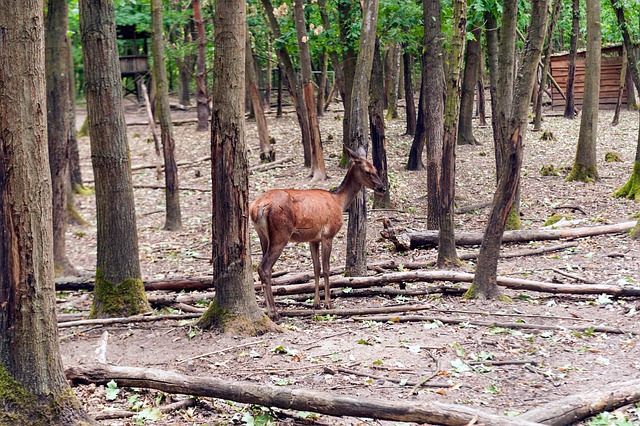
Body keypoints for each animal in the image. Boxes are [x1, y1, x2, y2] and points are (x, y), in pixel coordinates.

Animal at [250, 146, 386, 319]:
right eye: (367, 171)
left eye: (375, 168)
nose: (382, 188)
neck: (339, 202)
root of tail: (257, 208)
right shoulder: (328, 234)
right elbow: (327, 268)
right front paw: (328, 303)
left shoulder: (313, 239)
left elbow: (316, 268)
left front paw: (316, 303)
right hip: (281, 234)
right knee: (264, 268)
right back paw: (274, 312)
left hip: (262, 236)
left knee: (262, 267)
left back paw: (269, 311)